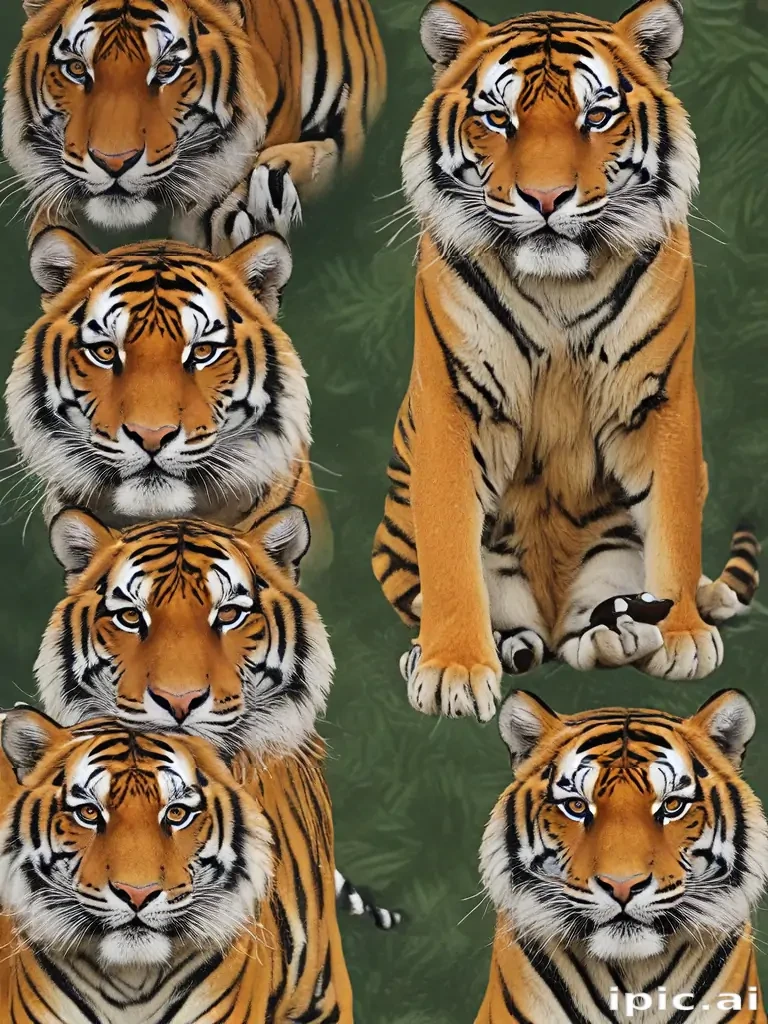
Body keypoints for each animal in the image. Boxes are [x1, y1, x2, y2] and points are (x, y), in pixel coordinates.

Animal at [371, 0, 761, 721]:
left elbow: (674, 523)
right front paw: (452, 669)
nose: (546, 199)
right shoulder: (453, 405)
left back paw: (627, 632)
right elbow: (448, 546)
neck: (560, 288)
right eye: (499, 118)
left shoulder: (660, 401)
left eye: (596, 117)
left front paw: (682, 638)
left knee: (592, 629)